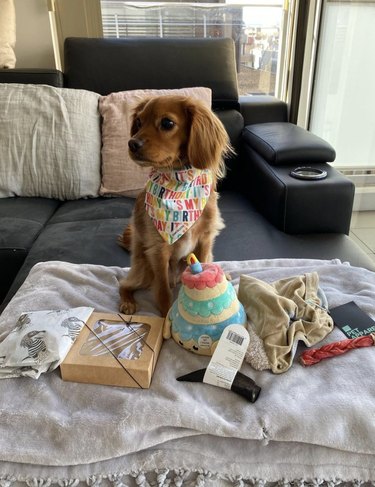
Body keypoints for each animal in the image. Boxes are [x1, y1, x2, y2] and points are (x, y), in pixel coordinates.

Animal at [119, 95, 232, 316]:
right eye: (138, 122)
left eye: (167, 123)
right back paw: (127, 302)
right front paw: (165, 318)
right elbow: (163, 292)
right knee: (124, 284)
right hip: (144, 270)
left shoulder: (205, 241)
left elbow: (205, 265)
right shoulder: (158, 251)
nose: (132, 143)